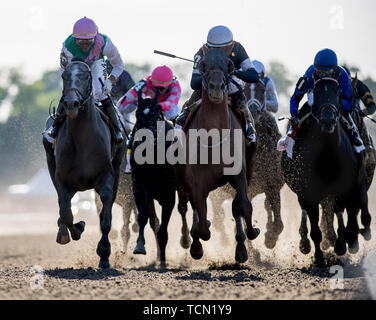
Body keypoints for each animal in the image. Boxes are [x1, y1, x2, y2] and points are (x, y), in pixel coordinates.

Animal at [42, 58, 125, 268]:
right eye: (64, 76)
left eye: (86, 76)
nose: (71, 103)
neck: (82, 138)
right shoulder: (61, 178)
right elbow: (66, 212)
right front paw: (75, 229)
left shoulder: (106, 176)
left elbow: (106, 215)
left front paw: (104, 253)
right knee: (64, 204)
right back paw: (63, 230)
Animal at [176, 48, 258, 262]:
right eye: (203, 65)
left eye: (229, 65)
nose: (216, 87)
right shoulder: (196, 182)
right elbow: (202, 221)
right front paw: (198, 243)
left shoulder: (239, 174)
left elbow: (243, 205)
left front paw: (252, 232)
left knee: (236, 206)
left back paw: (241, 248)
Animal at [282, 76, 370, 264]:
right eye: (316, 93)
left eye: (337, 93)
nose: (328, 120)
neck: (327, 155)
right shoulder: (309, 193)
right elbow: (315, 227)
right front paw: (319, 256)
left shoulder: (346, 186)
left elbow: (344, 211)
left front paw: (343, 244)